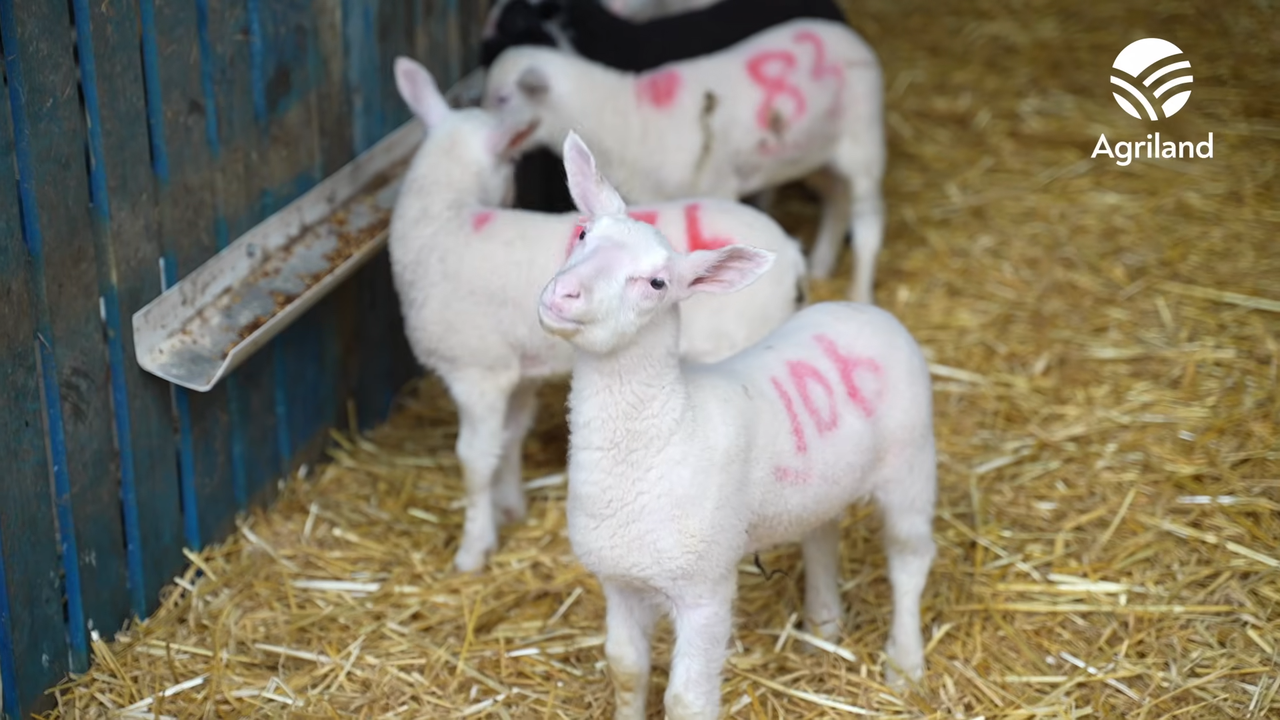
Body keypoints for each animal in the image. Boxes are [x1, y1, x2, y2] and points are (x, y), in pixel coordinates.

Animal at [388, 57, 809, 572]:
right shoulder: (517, 370)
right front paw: (510, 508)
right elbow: (511, 438)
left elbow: (474, 461)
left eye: (512, 163)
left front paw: (473, 549)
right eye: (582, 234)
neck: (442, 223)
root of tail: (790, 253)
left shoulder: (476, 371)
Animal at [485, 18, 887, 304]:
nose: (485, 134)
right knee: (836, 197)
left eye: (502, 98)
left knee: (867, 221)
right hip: (812, 152)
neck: (629, 118)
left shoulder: (716, 187)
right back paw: (821, 263)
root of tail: (848, 34)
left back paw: (860, 293)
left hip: (863, 141)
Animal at [536, 131, 936, 719]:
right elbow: (625, 669)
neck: (670, 427)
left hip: (910, 463)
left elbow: (686, 700)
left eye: (657, 283)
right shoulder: (619, 579)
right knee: (821, 533)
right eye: (583, 233)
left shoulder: (705, 589)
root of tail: (867, 311)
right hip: (818, 481)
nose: (563, 295)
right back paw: (823, 627)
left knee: (909, 559)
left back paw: (904, 665)